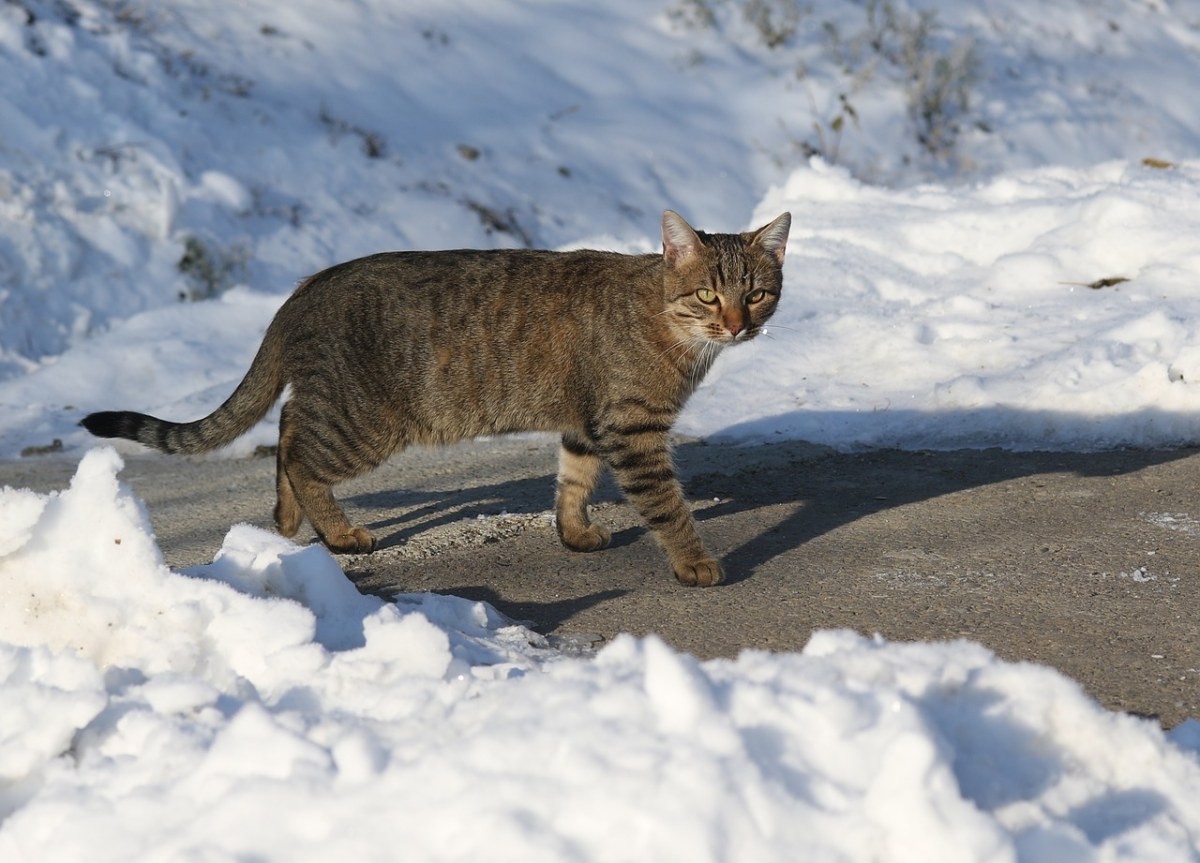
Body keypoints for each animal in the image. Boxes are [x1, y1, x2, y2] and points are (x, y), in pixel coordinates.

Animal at [87, 208, 796, 588]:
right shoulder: (632, 430)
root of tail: (307, 286)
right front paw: (696, 563)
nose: (740, 325)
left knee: (286, 430)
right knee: (297, 451)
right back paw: (337, 531)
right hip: (363, 422)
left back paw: (288, 523)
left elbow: (572, 480)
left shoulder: (587, 423)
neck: (668, 325)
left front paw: (573, 532)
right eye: (709, 294)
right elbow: (670, 508)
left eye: (758, 293)